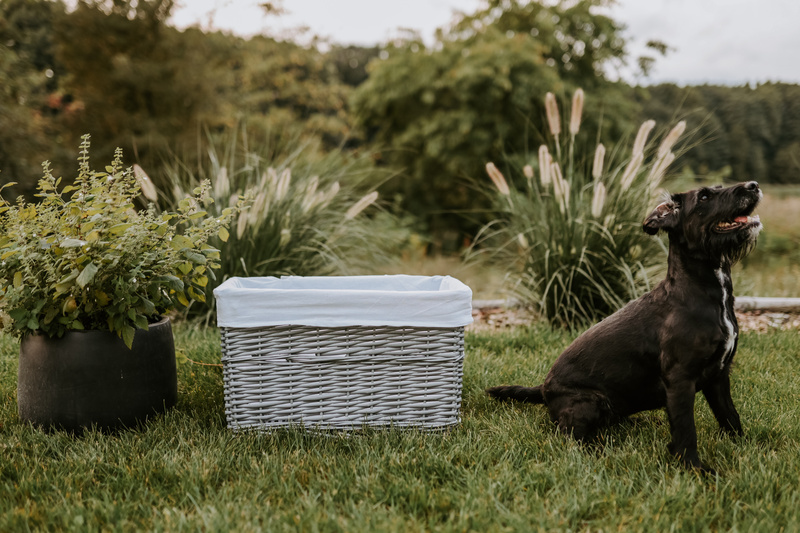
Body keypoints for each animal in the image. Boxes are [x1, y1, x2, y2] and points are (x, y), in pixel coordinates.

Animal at [488, 181, 764, 472]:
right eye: (704, 196)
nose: (753, 185)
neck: (699, 293)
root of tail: (543, 389)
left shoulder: (719, 376)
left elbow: (730, 416)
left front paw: (744, 449)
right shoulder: (680, 379)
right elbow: (686, 429)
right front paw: (695, 469)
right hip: (591, 403)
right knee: (568, 436)